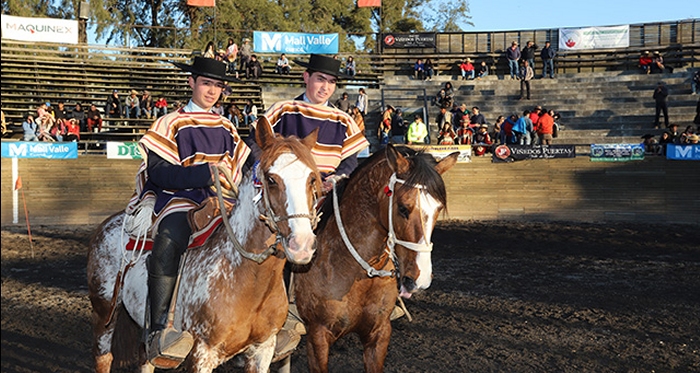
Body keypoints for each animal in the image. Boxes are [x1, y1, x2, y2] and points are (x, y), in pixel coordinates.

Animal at [85, 119, 322, 372]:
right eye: (270, 179)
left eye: (312, 179)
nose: (302, 244)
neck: (246, 277)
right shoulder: (202, 353)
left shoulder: (262, 350)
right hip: (103, 313)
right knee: (104, 357)